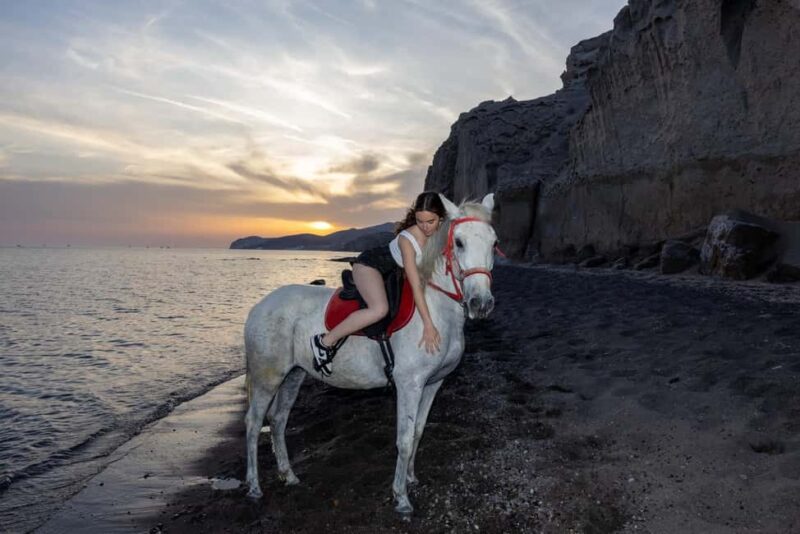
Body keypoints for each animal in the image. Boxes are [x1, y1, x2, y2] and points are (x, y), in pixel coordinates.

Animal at [243, 193, 498, 516]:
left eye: (493, 242)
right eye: (460, 242)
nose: (481, 303)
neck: (433, 312)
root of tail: (259, 306)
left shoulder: (433, 384)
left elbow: (418, 432)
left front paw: (411, 478)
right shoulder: (409, 385)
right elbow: (404, 439)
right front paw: (401, 498)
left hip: (294, 375)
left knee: (277, 420)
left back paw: (288, 475)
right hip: (267, 378)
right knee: (254, 424)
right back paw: (254, 487)